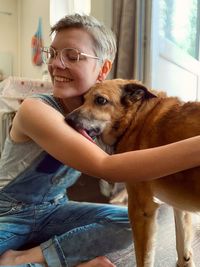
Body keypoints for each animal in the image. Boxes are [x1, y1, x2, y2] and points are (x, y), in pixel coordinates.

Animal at [65, 79, 200, 267]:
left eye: (100, 100)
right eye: (83, 100)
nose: (67, 119)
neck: (135, 118)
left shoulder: (141, 211)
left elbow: (144, 258)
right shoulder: (179, 203)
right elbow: (182, 242)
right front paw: (185, 261)